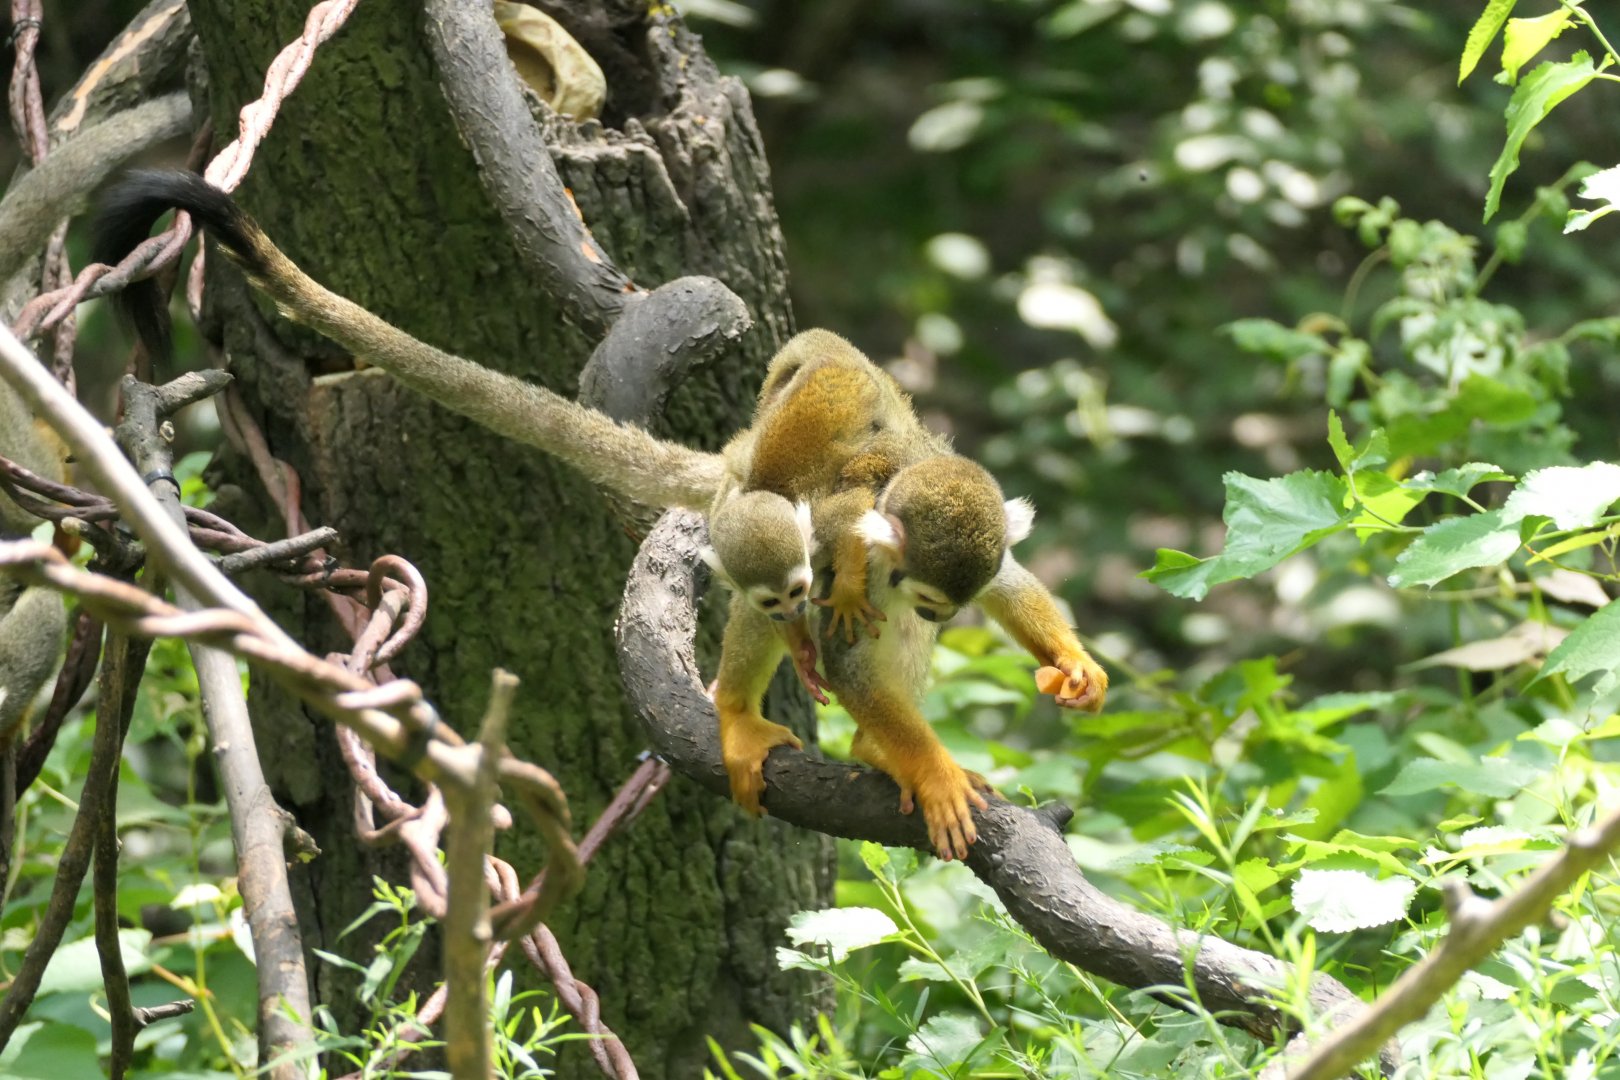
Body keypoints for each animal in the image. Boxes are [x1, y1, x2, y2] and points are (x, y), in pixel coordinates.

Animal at [93, 171, 1107, 859]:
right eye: (934, 598)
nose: (937, 609)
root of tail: (737, 458)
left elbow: (1007, 581)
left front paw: (1072, 663)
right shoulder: (855, 546)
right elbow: (850, 636)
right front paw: (929, 767)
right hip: (760, 514)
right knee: (768, 587)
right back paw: (757, 714)